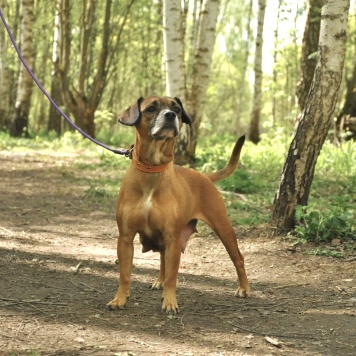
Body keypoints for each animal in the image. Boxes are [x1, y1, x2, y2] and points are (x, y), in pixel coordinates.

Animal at [108, 96, 250, 312]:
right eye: (151, 109)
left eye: (176, 109)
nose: (170, 115)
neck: (152, 169)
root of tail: (205, 177)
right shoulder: (125, 238)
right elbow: (125, 275)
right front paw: (120, 299)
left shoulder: (172, 238)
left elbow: (172, 276)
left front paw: (169, 302)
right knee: (162, 260)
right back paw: (159, 281)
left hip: (224, 228)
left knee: (238, 259)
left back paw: (244, 288)